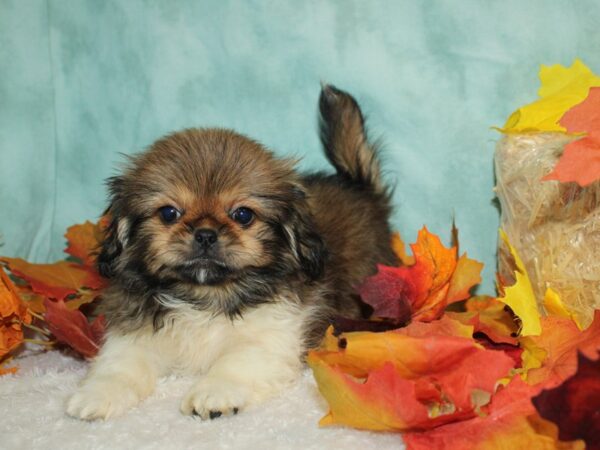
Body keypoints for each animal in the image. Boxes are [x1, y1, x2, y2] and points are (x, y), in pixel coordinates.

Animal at [67, 86, 398, 420]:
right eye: (169, 213)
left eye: (243, 215)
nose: (205, 234)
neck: (203, 296)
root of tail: (359, 186)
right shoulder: (133, 331)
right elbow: (119, 365)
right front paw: (97, 394)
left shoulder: (269, 336)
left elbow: (235, 362)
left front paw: (214, 393)